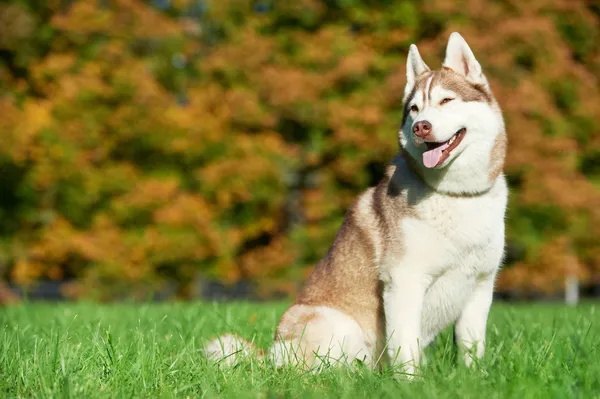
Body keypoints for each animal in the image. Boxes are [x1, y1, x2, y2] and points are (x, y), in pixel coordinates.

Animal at [205, 32, 506, 378]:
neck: (455, 195)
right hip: (337, 324)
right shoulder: (404, 281)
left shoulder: (481, 285)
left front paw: (474, 379)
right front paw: (411, 383)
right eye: (415, 109)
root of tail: (270, 355)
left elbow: (472, 347)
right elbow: (407, 347)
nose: (421, 126)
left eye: (446, 100)